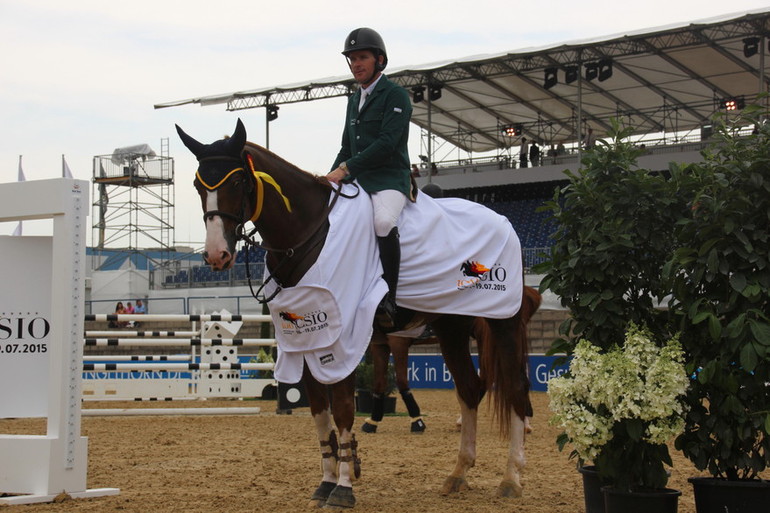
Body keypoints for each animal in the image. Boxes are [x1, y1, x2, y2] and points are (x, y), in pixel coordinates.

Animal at [178, 120, 540, 508]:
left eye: (236, 182)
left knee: (515, 389)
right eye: (198, 185)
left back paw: (511, 478)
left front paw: (343, 487)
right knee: (470, 390)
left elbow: (343, 410)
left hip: (501, 324)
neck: (311, 232)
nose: (216, 255)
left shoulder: (345, 337)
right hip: (451, 328)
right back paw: (458, 473)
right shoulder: (306, 338)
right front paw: (325, 482)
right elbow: (320, 415)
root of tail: (503, 221)